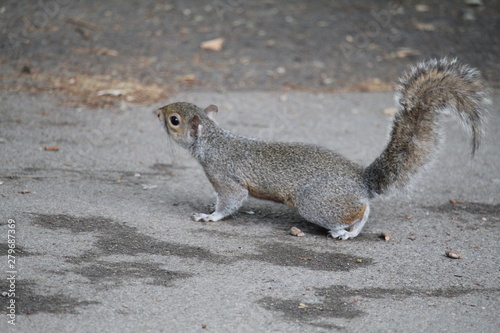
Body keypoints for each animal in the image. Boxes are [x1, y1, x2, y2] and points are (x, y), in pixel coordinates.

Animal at [156, 57, 488, 239]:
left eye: (174, 120)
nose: (157, 112)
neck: (212, 141)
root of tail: (361, 180)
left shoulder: (225, 176)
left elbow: (230, 201)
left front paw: (210, 217)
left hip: (314, 201)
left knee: (358, 211)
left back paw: (345, 232)